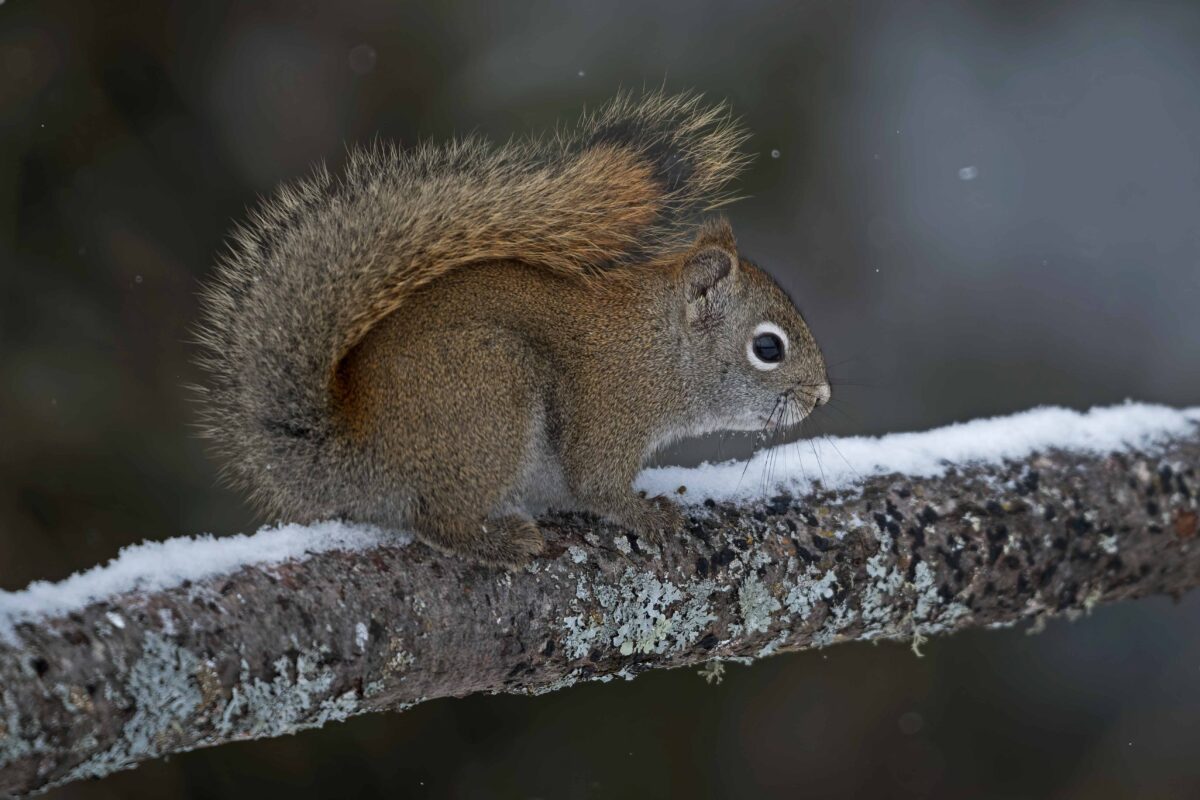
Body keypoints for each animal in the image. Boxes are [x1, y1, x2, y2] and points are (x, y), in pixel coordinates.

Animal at [195, 91, 830, 568]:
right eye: (767, 347)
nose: (822, 396)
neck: (656, 347)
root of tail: (355, 450)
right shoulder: (607, 413)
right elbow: (596, 485)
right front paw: (650, 516)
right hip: (491, 395)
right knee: (437, 521)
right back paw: (500, 540)